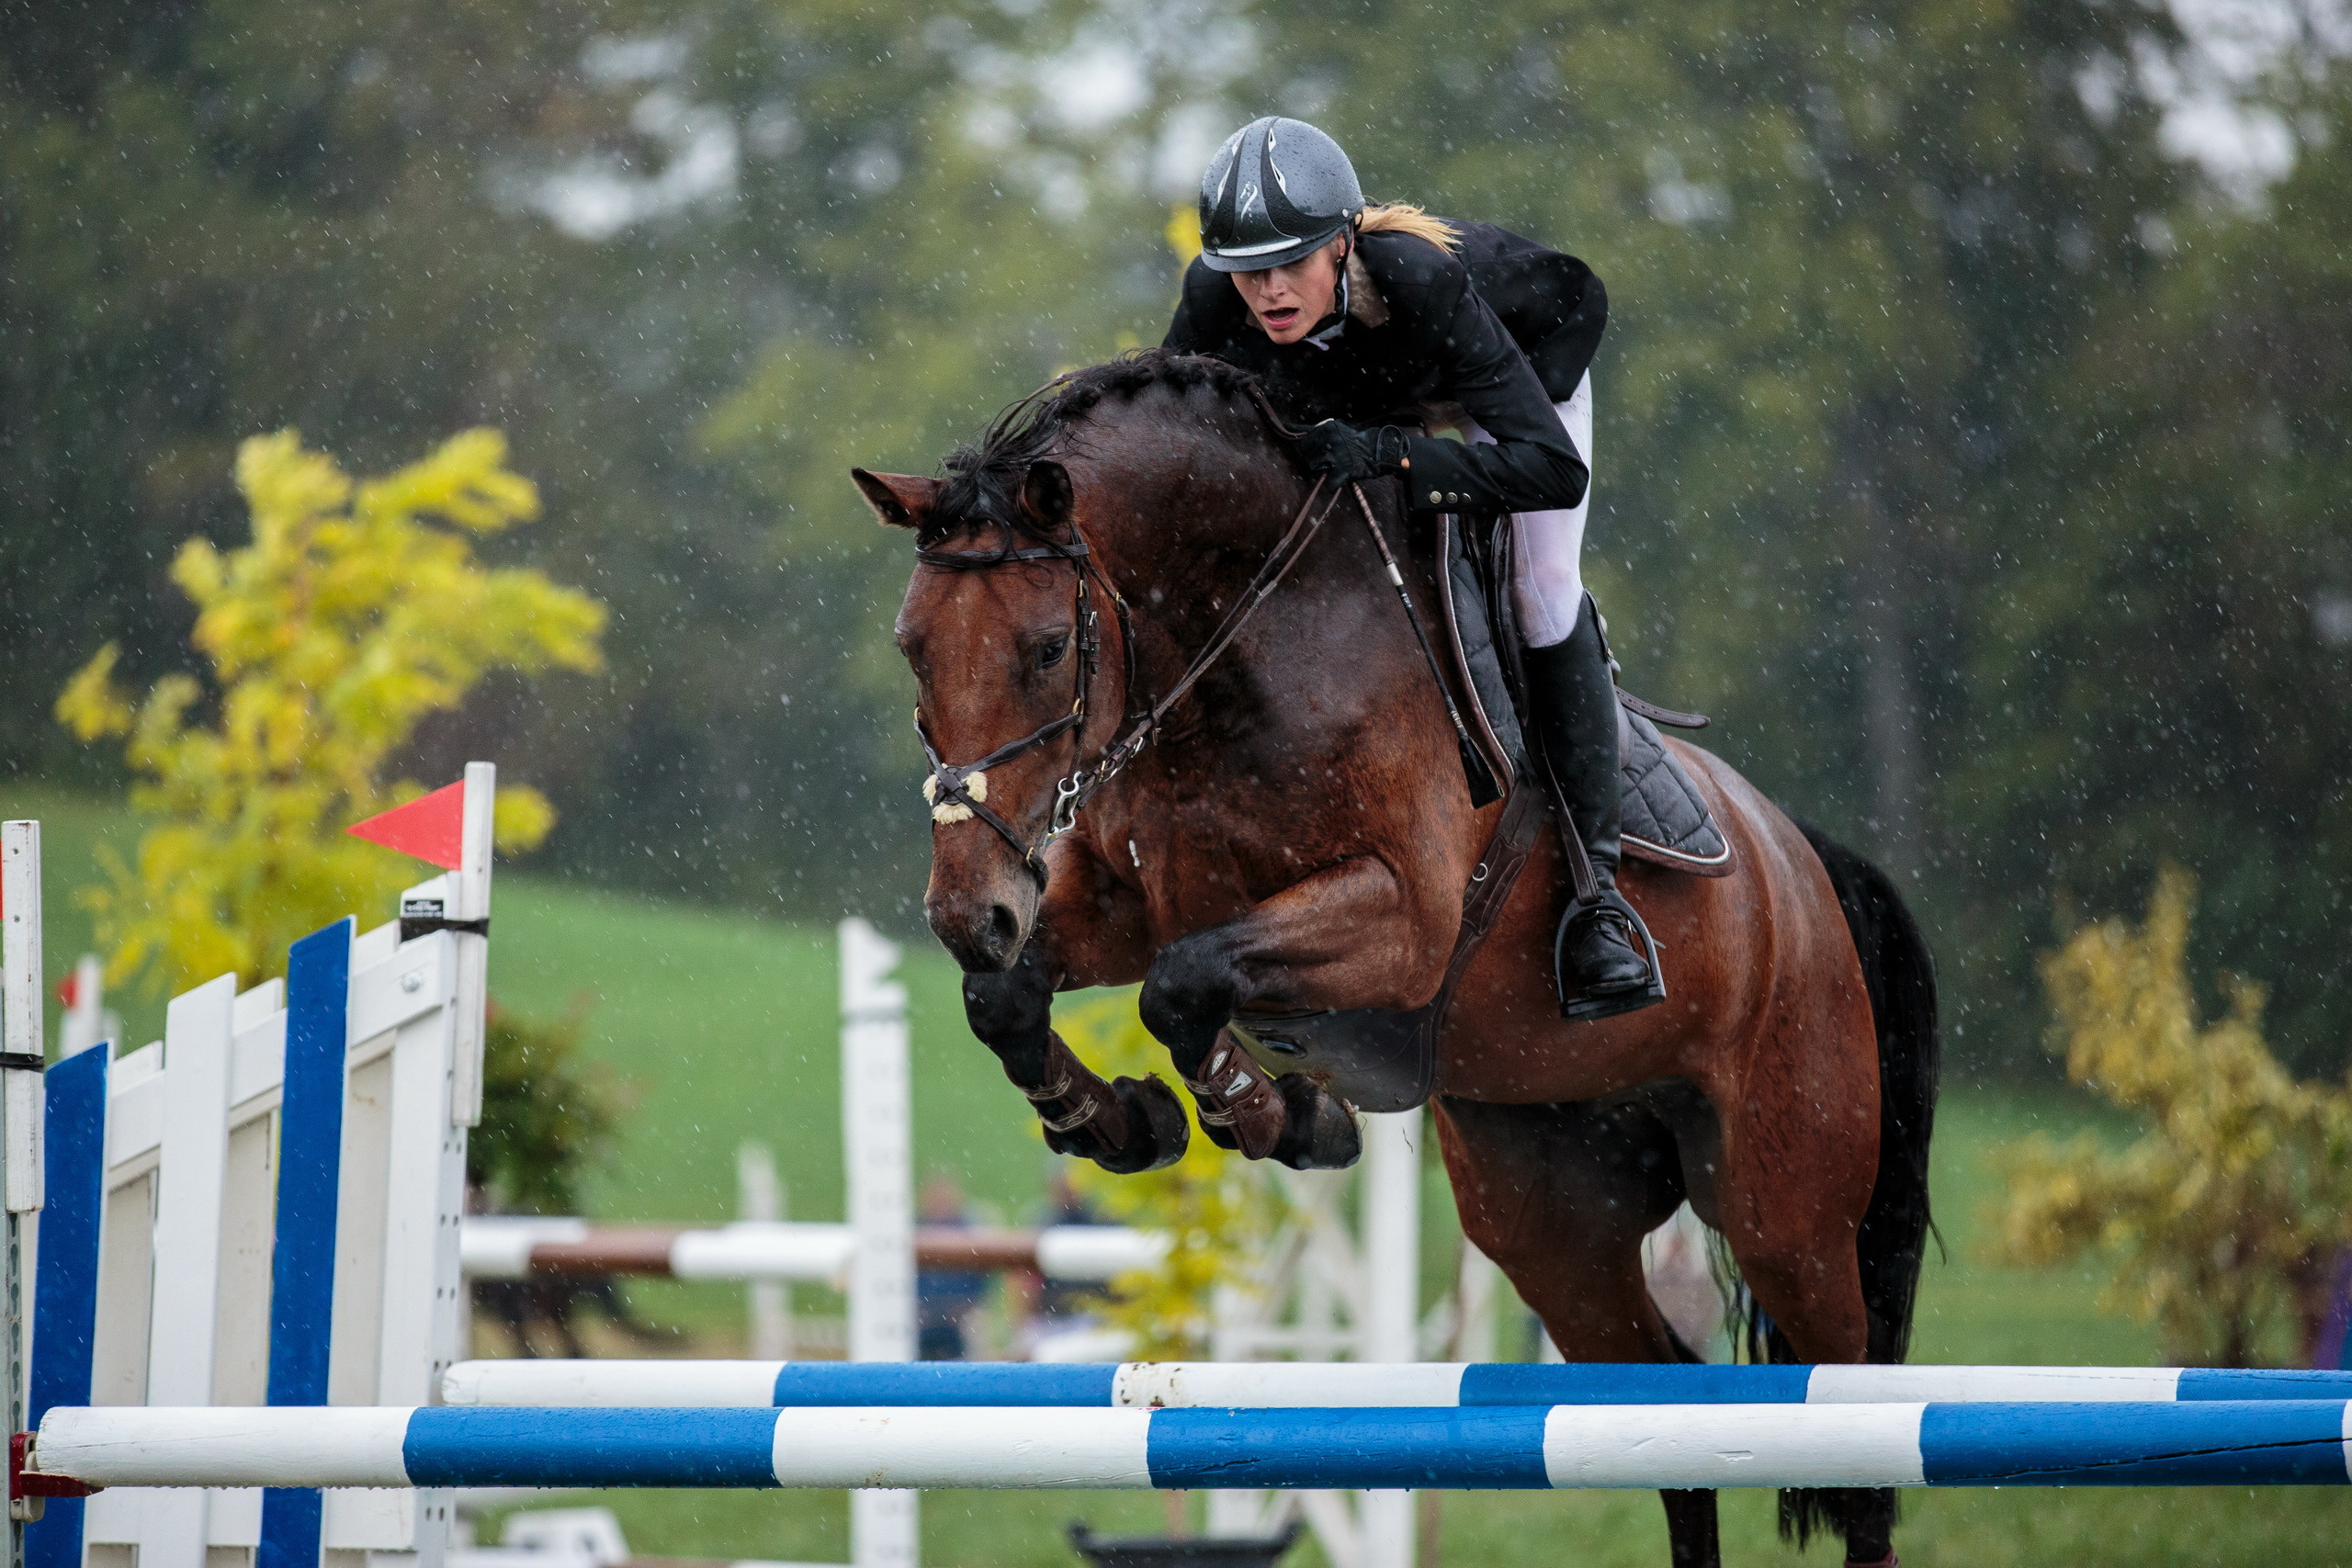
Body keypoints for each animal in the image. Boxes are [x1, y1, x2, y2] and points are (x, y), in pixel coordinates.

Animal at [855, 355, 1938, 1568]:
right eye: (911, 647)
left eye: (1046, 649)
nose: (969, 911)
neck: (1243, 640)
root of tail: (1807, 865)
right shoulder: (1123, 902)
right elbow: (1008, 999)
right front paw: (1118, 1121)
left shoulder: (1399, 921)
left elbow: (1182, 985)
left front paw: (1278, 1116)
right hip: (1550, 1212)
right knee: (1661, 1411)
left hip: (1783, 1211)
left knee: (1854, 1418)